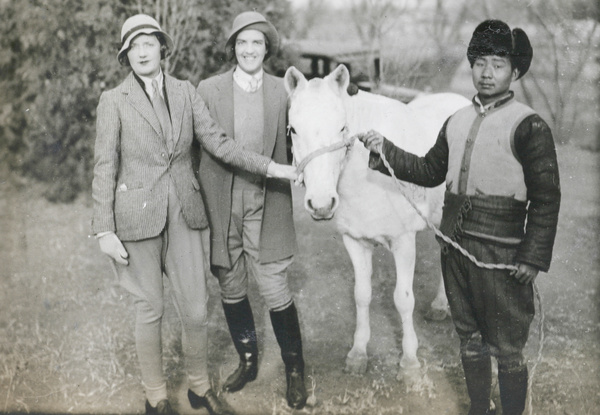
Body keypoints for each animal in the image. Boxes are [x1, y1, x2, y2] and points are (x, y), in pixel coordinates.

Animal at [284, 64, 472, 380]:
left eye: (342, 128)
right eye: (294, 130)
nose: (321, 204)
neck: (368, 176)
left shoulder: (404, 242)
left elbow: (403, 299)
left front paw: (409, 362)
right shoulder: (355, 242)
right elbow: (361, 295)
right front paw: (358, 353)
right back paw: (439, 305)